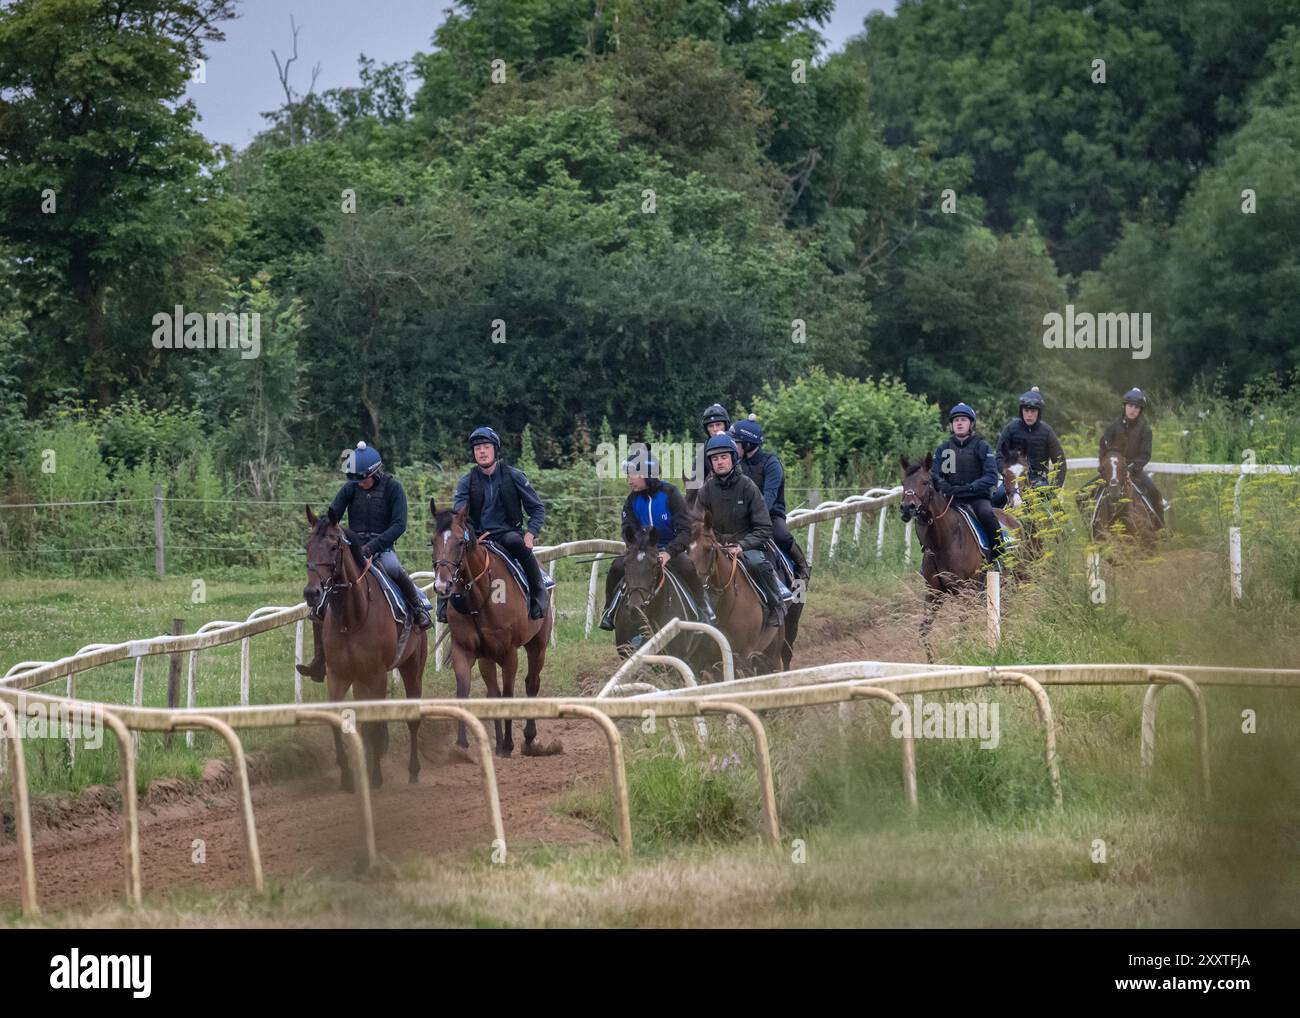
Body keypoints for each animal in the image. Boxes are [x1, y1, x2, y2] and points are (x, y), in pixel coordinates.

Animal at [302, 507, 426, 790]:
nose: (312, 593)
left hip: (412, 666)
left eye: (333, 545)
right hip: (359, 681)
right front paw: (349, 775)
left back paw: (413, 770)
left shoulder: (377, 676)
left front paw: (376, 776)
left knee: (413, 718)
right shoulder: (338, 675)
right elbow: (341, 722)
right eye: (307, 546)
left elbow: (374, 726)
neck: (352, 618)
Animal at [431, 501, 564, 754]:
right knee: (493, 691)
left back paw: (529, 738)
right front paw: (462, 745)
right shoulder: (466, 650)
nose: (442, 585)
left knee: (532, 683)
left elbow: (509, 694)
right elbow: (464, 693)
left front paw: (509, 744)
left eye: (460, 542)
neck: (480, 597)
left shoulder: (509, 653)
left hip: (537, 644)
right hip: (487, 656)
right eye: (432, 541)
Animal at [686, 514, 785, 681]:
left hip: (774, 649)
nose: (694, 581)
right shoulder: (707, 660)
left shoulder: (743, 656)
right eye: (686, 550)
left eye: (709, 548)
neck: (725, 606)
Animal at [899, 457, 1019, 665]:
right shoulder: (934, 594)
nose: (908, 507)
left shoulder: (967, 593)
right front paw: (932, 662)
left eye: (925, 482)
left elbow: (961, 632)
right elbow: (924, 631)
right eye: (903, 483)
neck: (943, 542)